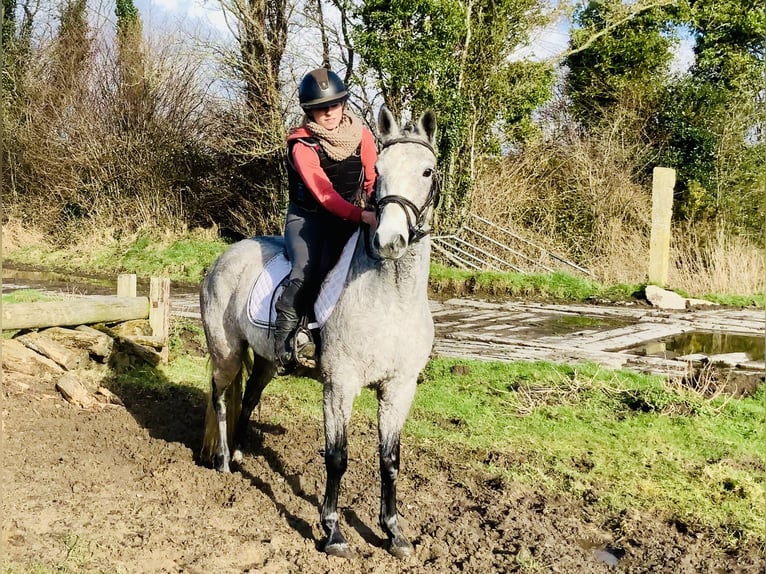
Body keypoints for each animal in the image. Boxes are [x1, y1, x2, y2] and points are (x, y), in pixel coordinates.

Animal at [200, 106, 438, 560]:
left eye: (427, 171)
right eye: (379, 171)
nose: (389, 241)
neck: (392, 299)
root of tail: (224, 256)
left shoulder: (399, 387)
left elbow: (390, 460)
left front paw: (394, 533)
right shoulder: (339, 385)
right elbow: (337, 457)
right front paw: (332, 531)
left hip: (269, 360)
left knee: (250, 398)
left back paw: (237, 451)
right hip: (227, 352)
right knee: (221, 394)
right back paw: (221, 459)